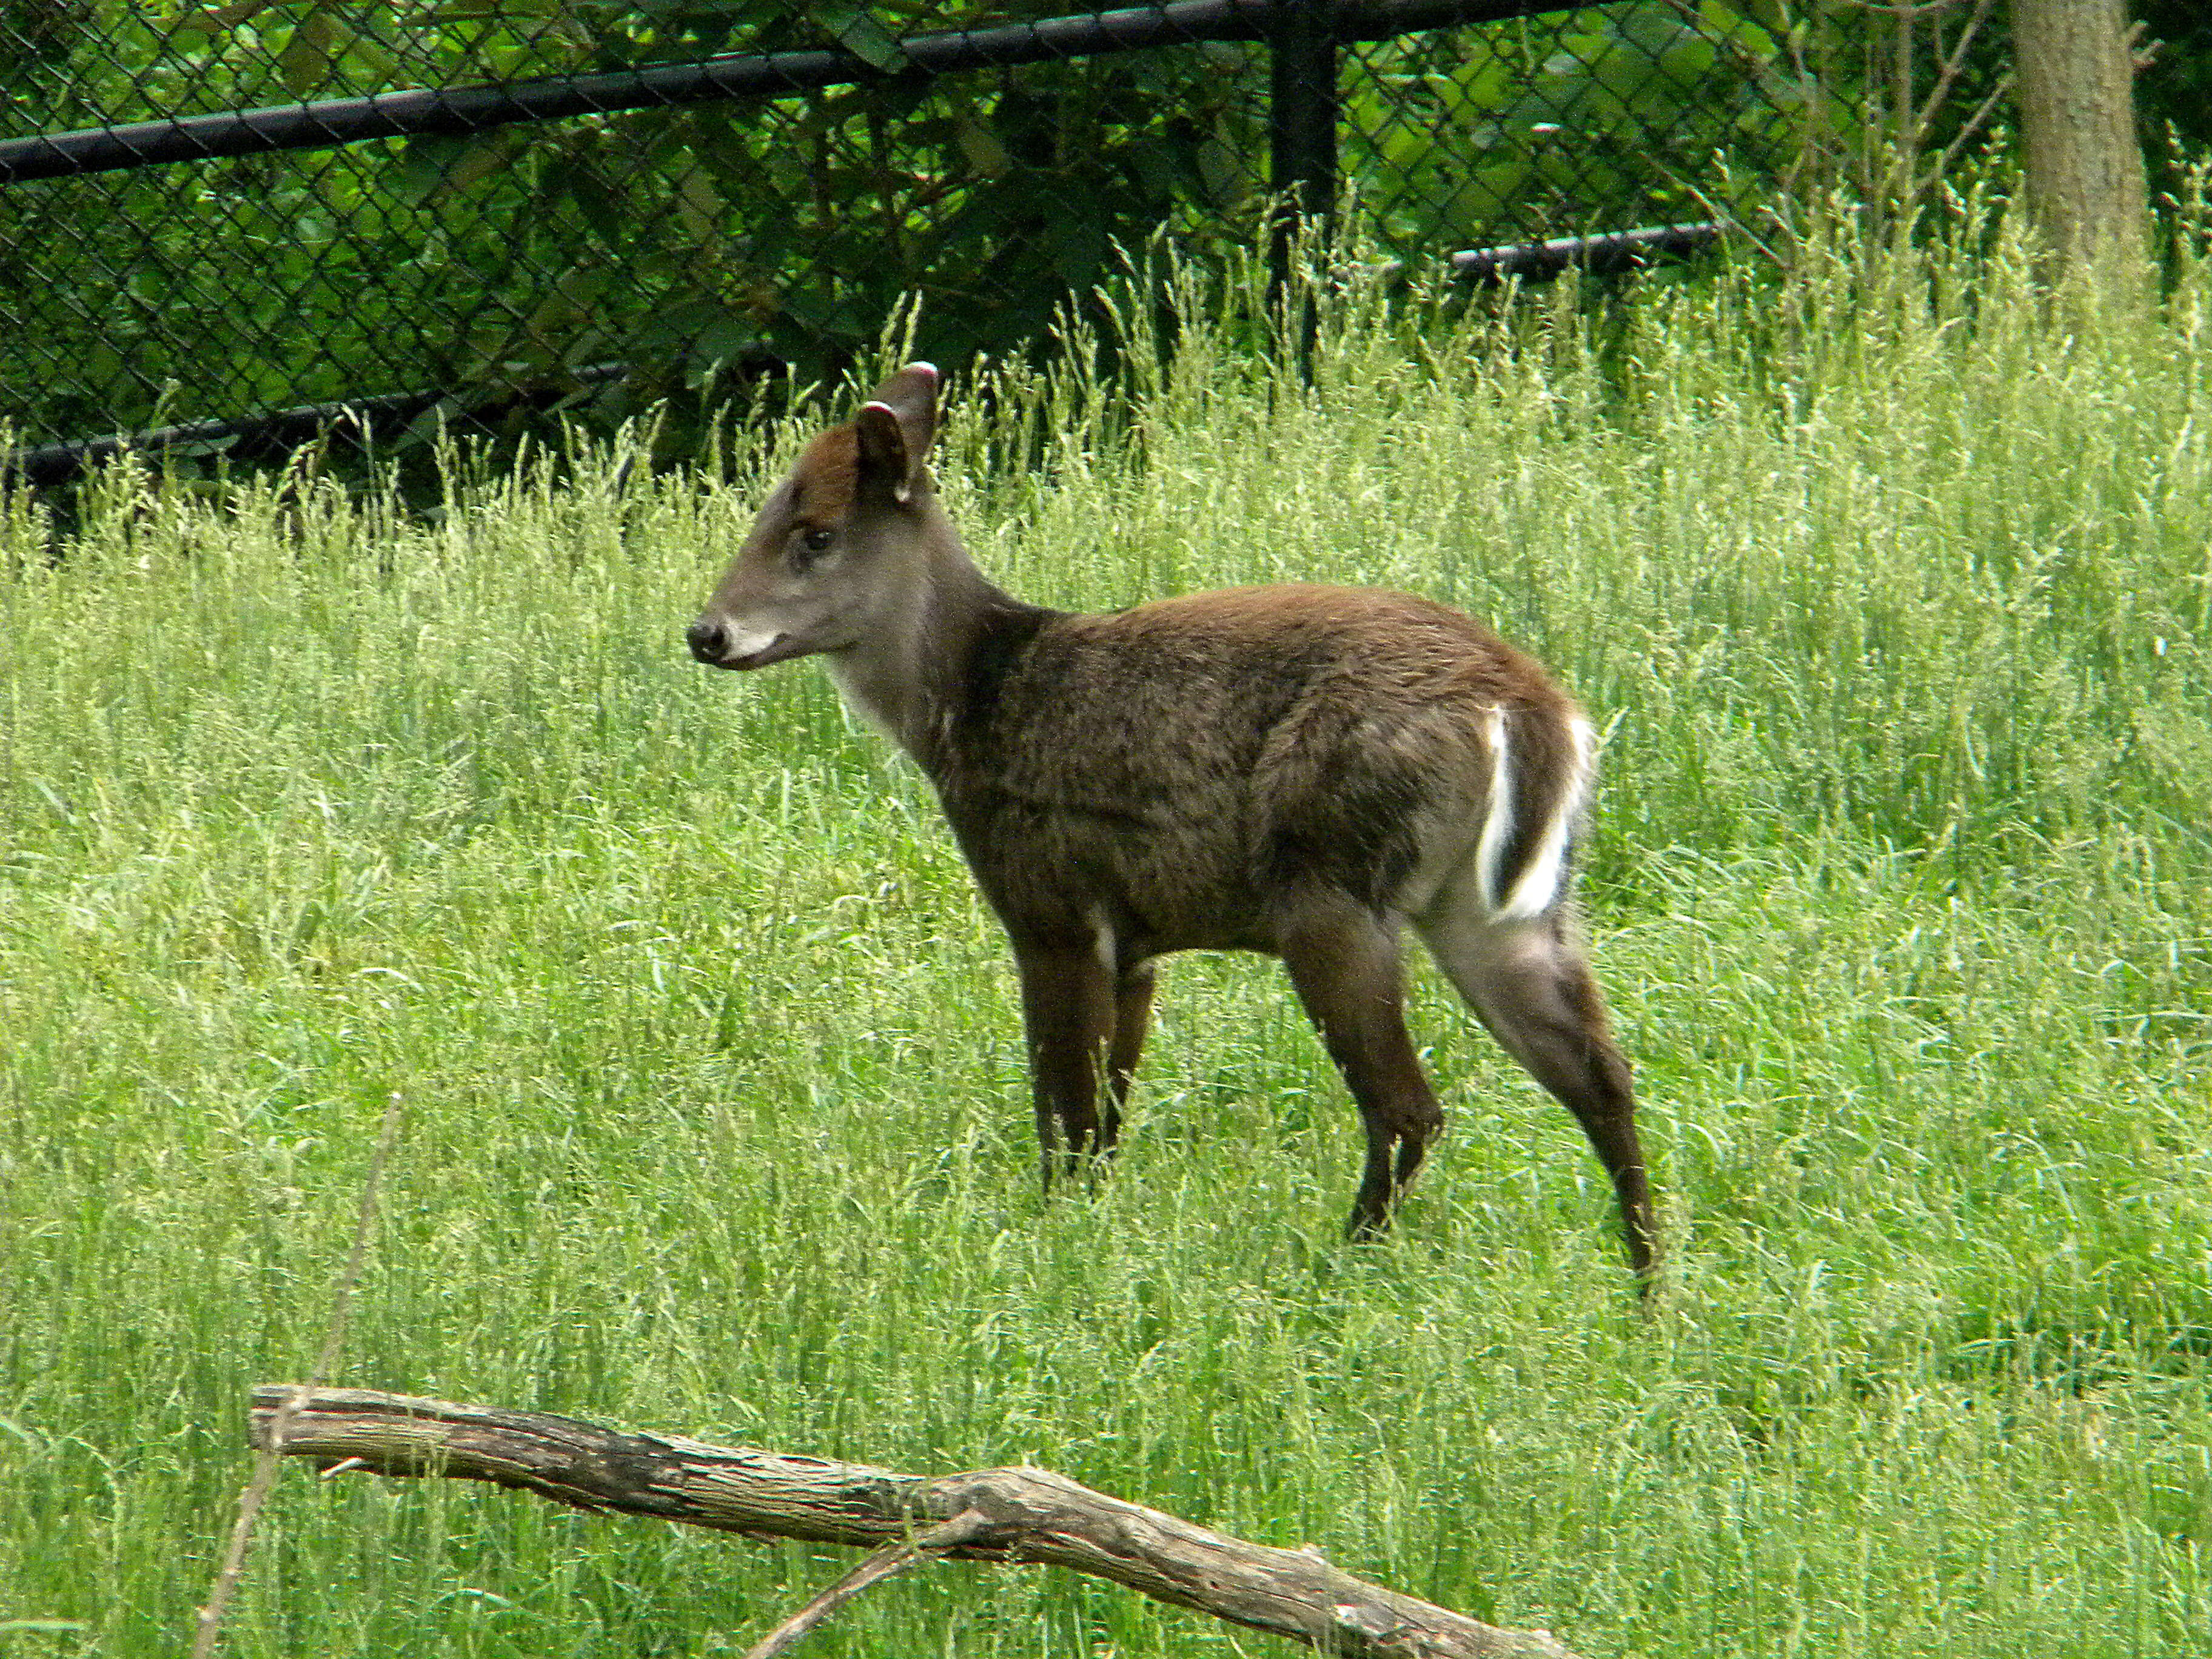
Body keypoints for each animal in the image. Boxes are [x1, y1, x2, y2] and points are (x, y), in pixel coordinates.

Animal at [681, 367, 1654, 1282]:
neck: (973, 702)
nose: (707, 633)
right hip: (1498, 907)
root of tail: (1529, 705)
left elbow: (1066, 1115)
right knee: (1603, 1079)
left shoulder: (1050, 905)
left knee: (1409, 1107)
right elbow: (1107, 1122)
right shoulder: (1139, 939)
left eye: (816, 534)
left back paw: (1339, 1264)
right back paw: (1648, 1288)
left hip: (1330, 883)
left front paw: (1055, 1245)